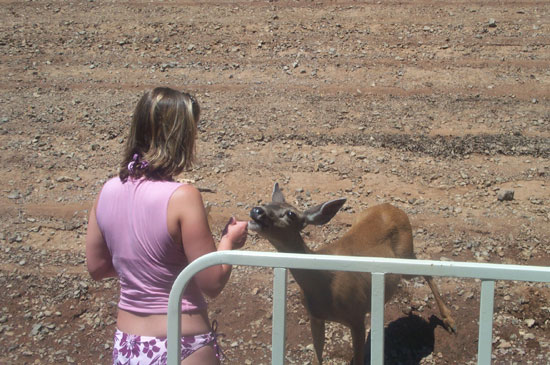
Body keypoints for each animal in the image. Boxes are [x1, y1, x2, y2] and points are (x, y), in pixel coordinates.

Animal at [249, 183, 458, 362]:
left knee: (426, 269)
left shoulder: (357, 316)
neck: (323, 283)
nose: (256, 211)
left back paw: (449, 320)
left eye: (290, 214)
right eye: (265, 203)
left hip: (404, 257)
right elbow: (317, 357)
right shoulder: (315, 317)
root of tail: (393, 207)